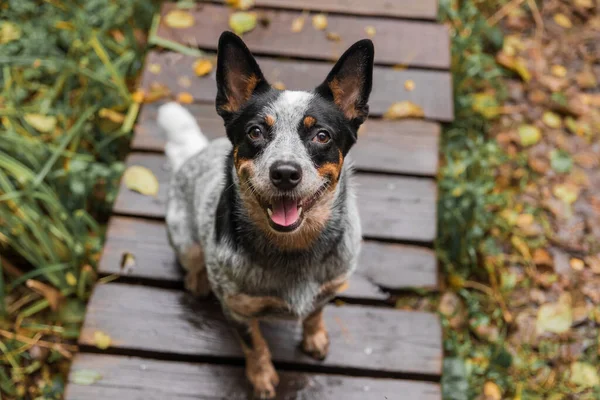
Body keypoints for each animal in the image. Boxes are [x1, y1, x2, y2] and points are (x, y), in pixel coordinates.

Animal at [158, 32, 376, 400]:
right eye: (256, 131)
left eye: (322, 135)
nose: (285, 173)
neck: (294, 251)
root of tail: (195, 152)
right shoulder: (237, 309)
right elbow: (255, 345)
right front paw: (261, 378)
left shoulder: (328, 286)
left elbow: (315, 313)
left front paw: (314, 337)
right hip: (186, 243)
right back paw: (197, 280)